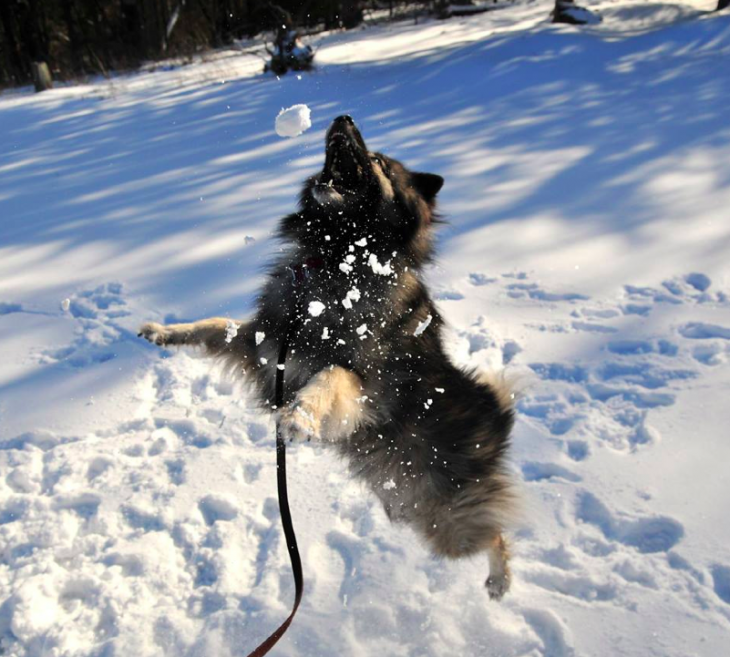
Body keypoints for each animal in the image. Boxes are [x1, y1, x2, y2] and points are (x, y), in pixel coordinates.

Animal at [139, 115, 516, 596]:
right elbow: (213, 324)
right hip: (414, 508)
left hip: (445, 520)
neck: (336, 256)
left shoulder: (364, 384)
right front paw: (164, 332)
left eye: (378, 162)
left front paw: (300, 416)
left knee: (497, 533)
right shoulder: (265, 345)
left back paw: (500, 580)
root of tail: (496, 413)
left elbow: (331, 374)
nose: (344, 118)